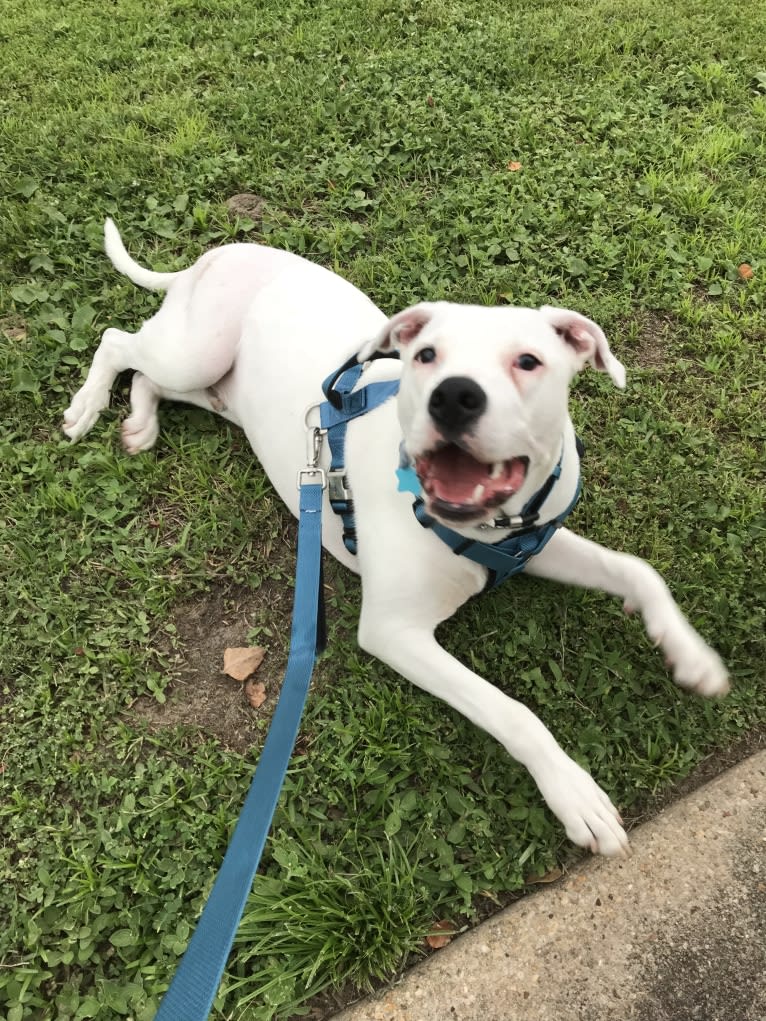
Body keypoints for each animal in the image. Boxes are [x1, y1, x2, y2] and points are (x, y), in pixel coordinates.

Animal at [63, 221, 727, 853]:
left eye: (529, 361)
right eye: (426, 355)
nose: (454, 395)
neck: (483, 525)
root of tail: (218, 255)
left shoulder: (531, 544)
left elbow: (636, 568)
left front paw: (692, 657)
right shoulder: (395, 632)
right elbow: (512, 710)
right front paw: (573, 794)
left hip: (218, 390)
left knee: (151, 379)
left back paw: (139, 422)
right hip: (196, 350)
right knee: (120, 342)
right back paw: (87, 405)